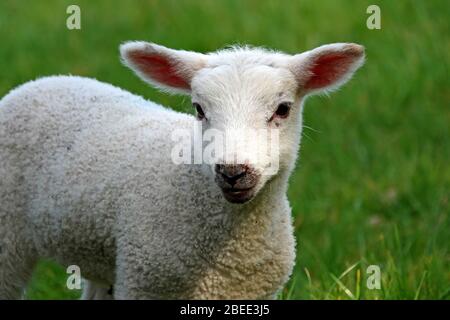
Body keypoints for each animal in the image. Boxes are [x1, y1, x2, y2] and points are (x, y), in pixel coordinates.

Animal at [0, 40, 366, 300]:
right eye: (199, 109)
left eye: (283, 109)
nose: (233, 172)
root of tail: (46, 80)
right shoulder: (143, 283)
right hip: (8, 237)